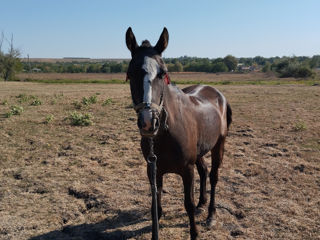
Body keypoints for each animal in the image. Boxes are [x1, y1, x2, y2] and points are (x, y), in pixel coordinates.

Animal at [125, 27, 232, 239]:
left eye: (163, 73)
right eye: (131, 73)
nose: (148, 122)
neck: (167, 134)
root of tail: (218, 95)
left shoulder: (186, 170)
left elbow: (187, 204)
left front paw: (194, 233)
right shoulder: (153, 169)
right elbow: (155, 205)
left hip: (219, 145)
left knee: (213, 176)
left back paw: (211, 215)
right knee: (204, 170)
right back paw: (202, 204)